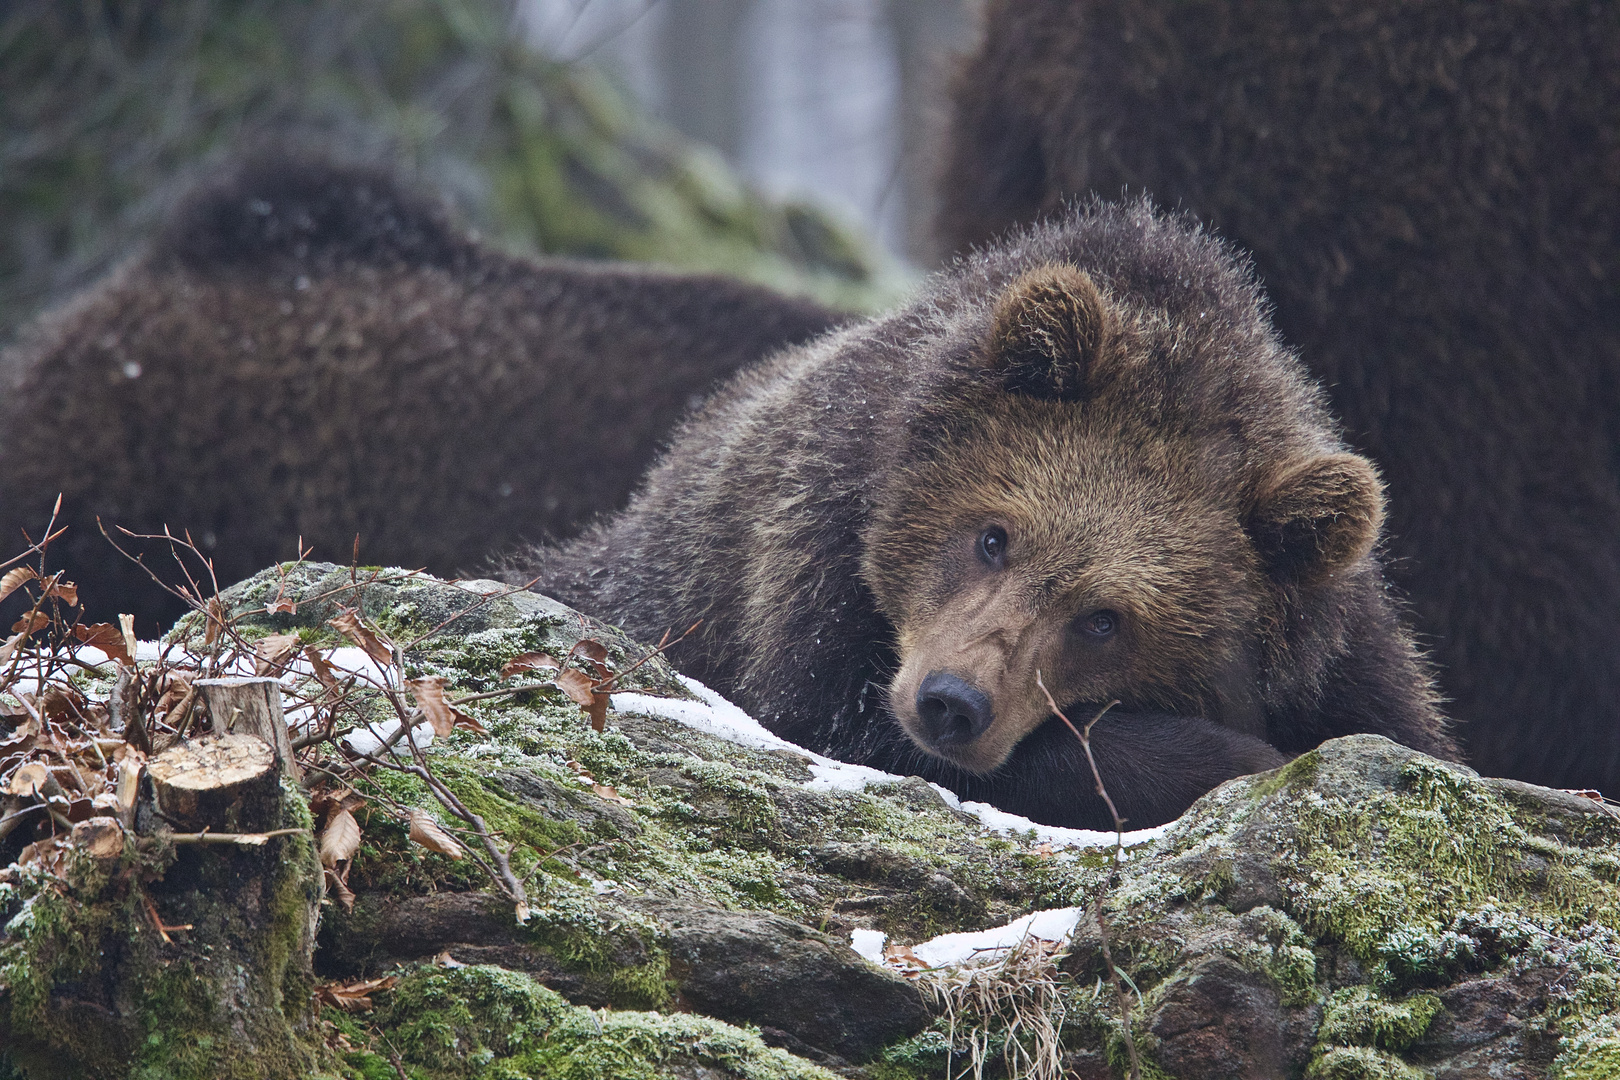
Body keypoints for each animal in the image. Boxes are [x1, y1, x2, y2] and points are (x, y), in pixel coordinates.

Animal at [531, 200, 1458, 829]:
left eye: (1106, 619)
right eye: (992, 536)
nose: (952, 701)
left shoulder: (1349, 662)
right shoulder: (808, 563)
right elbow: (836, 725)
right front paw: (1230, 757)